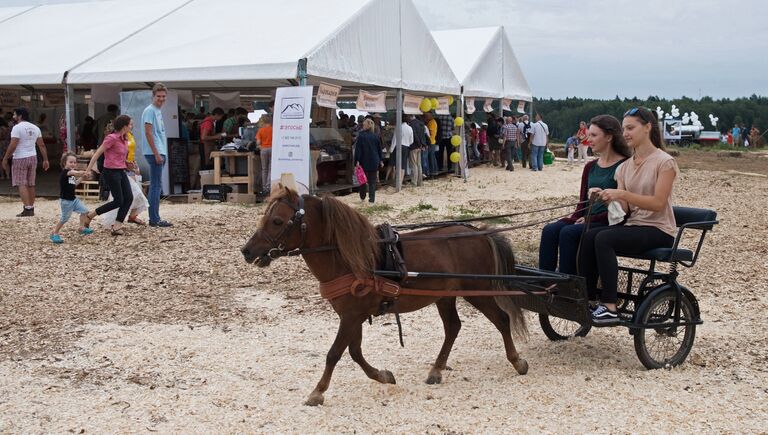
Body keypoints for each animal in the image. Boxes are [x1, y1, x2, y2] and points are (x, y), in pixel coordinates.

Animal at [242, 188, 528, 408]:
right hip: (445, 296)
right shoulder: (352, 316)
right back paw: (436, 369)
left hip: (478, 290)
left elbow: (334, 353)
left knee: (501, 320)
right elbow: (355, 352)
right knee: (453, 327)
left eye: (277, 221)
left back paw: (517, 361)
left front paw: (318, 392)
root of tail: (480, 232)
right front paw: (383, 375)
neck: (349, 259)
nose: (246, 251)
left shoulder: (351, 316)